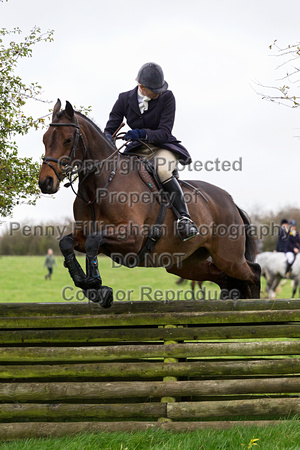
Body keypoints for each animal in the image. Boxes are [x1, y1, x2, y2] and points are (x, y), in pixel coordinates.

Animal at [39, 100, 260, 308]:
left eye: (68, 140)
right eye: (44, 139)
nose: (46, 182)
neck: (99, 187)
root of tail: (231, 202)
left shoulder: (133, 237)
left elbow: (93, 242)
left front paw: (96, 286)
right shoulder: (83, 233)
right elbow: (66, 243)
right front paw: (89, 285)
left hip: (229, 257)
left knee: (254, 273)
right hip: (185, 263)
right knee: (226, 280)